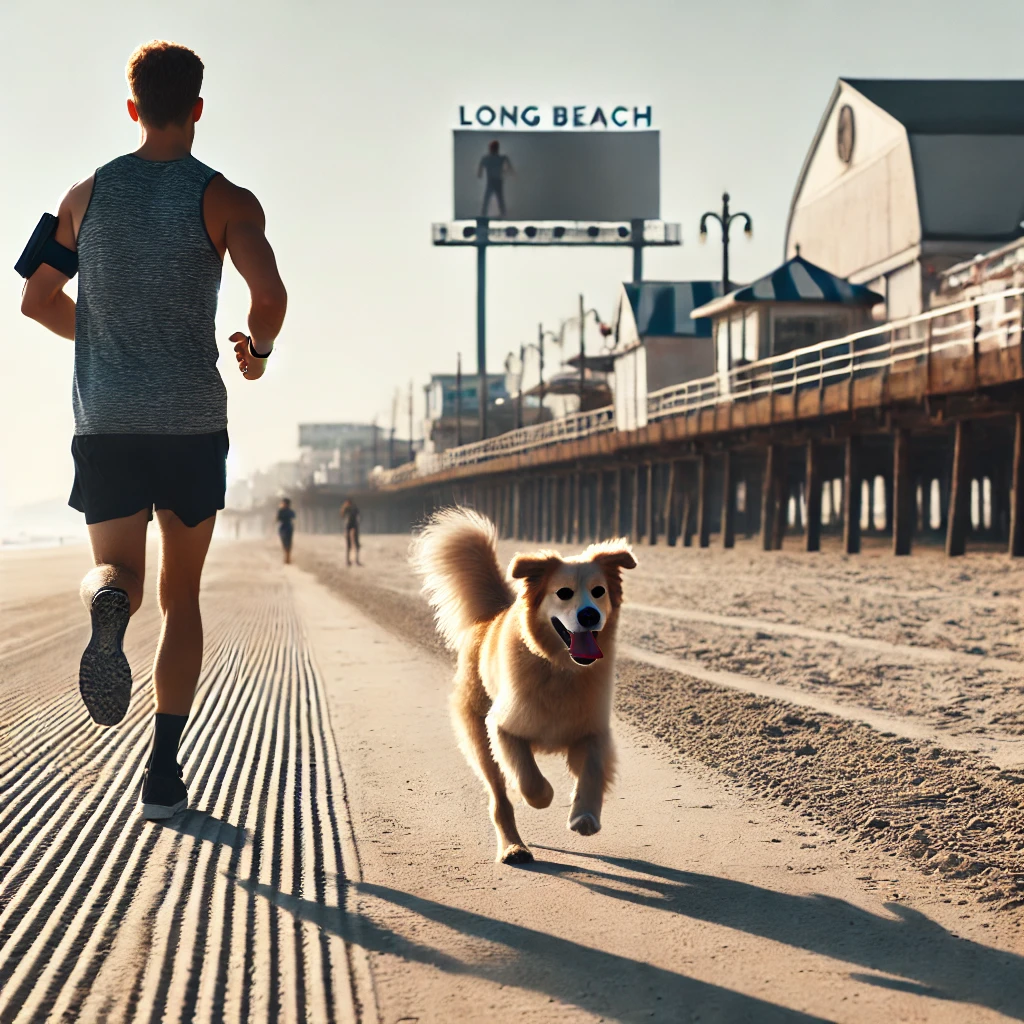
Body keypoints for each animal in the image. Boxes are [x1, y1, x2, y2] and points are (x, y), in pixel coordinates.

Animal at [409, 507, 634, 860]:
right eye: (563, 592)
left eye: (599, 591)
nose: (589, 615)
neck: (558, 668)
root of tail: (492, 616)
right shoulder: (502, 727)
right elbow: (529, 779)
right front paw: (543, 796)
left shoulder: (593, 730)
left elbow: (593, 770)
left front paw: (584, 816)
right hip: (480, 739)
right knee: (499, 799)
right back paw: (513, 847)